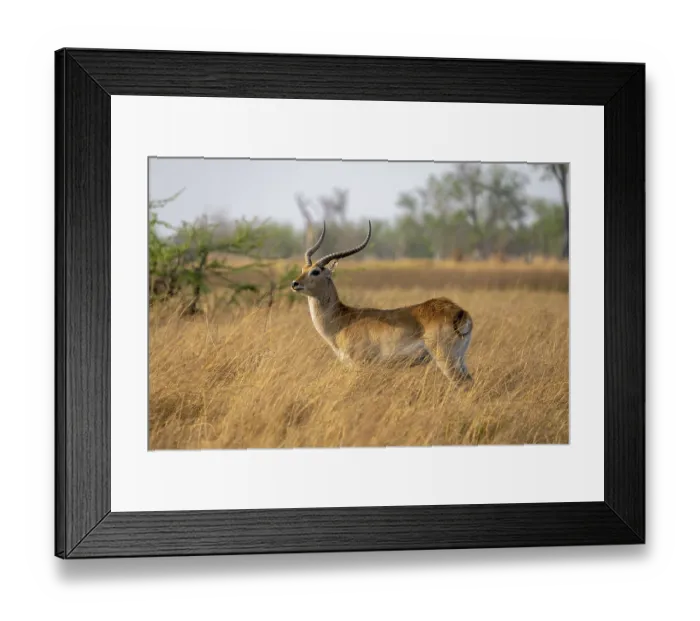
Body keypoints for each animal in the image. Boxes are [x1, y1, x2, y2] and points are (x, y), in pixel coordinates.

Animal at [291, 221, 474, 384]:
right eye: (302, 269)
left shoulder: (360, 365)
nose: (294, 283)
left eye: (315, 271)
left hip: (446, 359)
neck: (343, 321)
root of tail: (460, 312)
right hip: (460, 359)